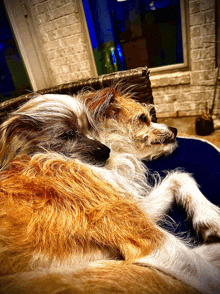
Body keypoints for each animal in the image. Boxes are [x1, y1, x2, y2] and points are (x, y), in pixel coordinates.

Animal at [0, 88, 219, 292]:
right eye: (142, 118)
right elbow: (206, 273)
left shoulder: (131, 209)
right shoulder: (147, 240)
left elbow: (179, 176)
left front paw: (210, 216)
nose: (174, 128)